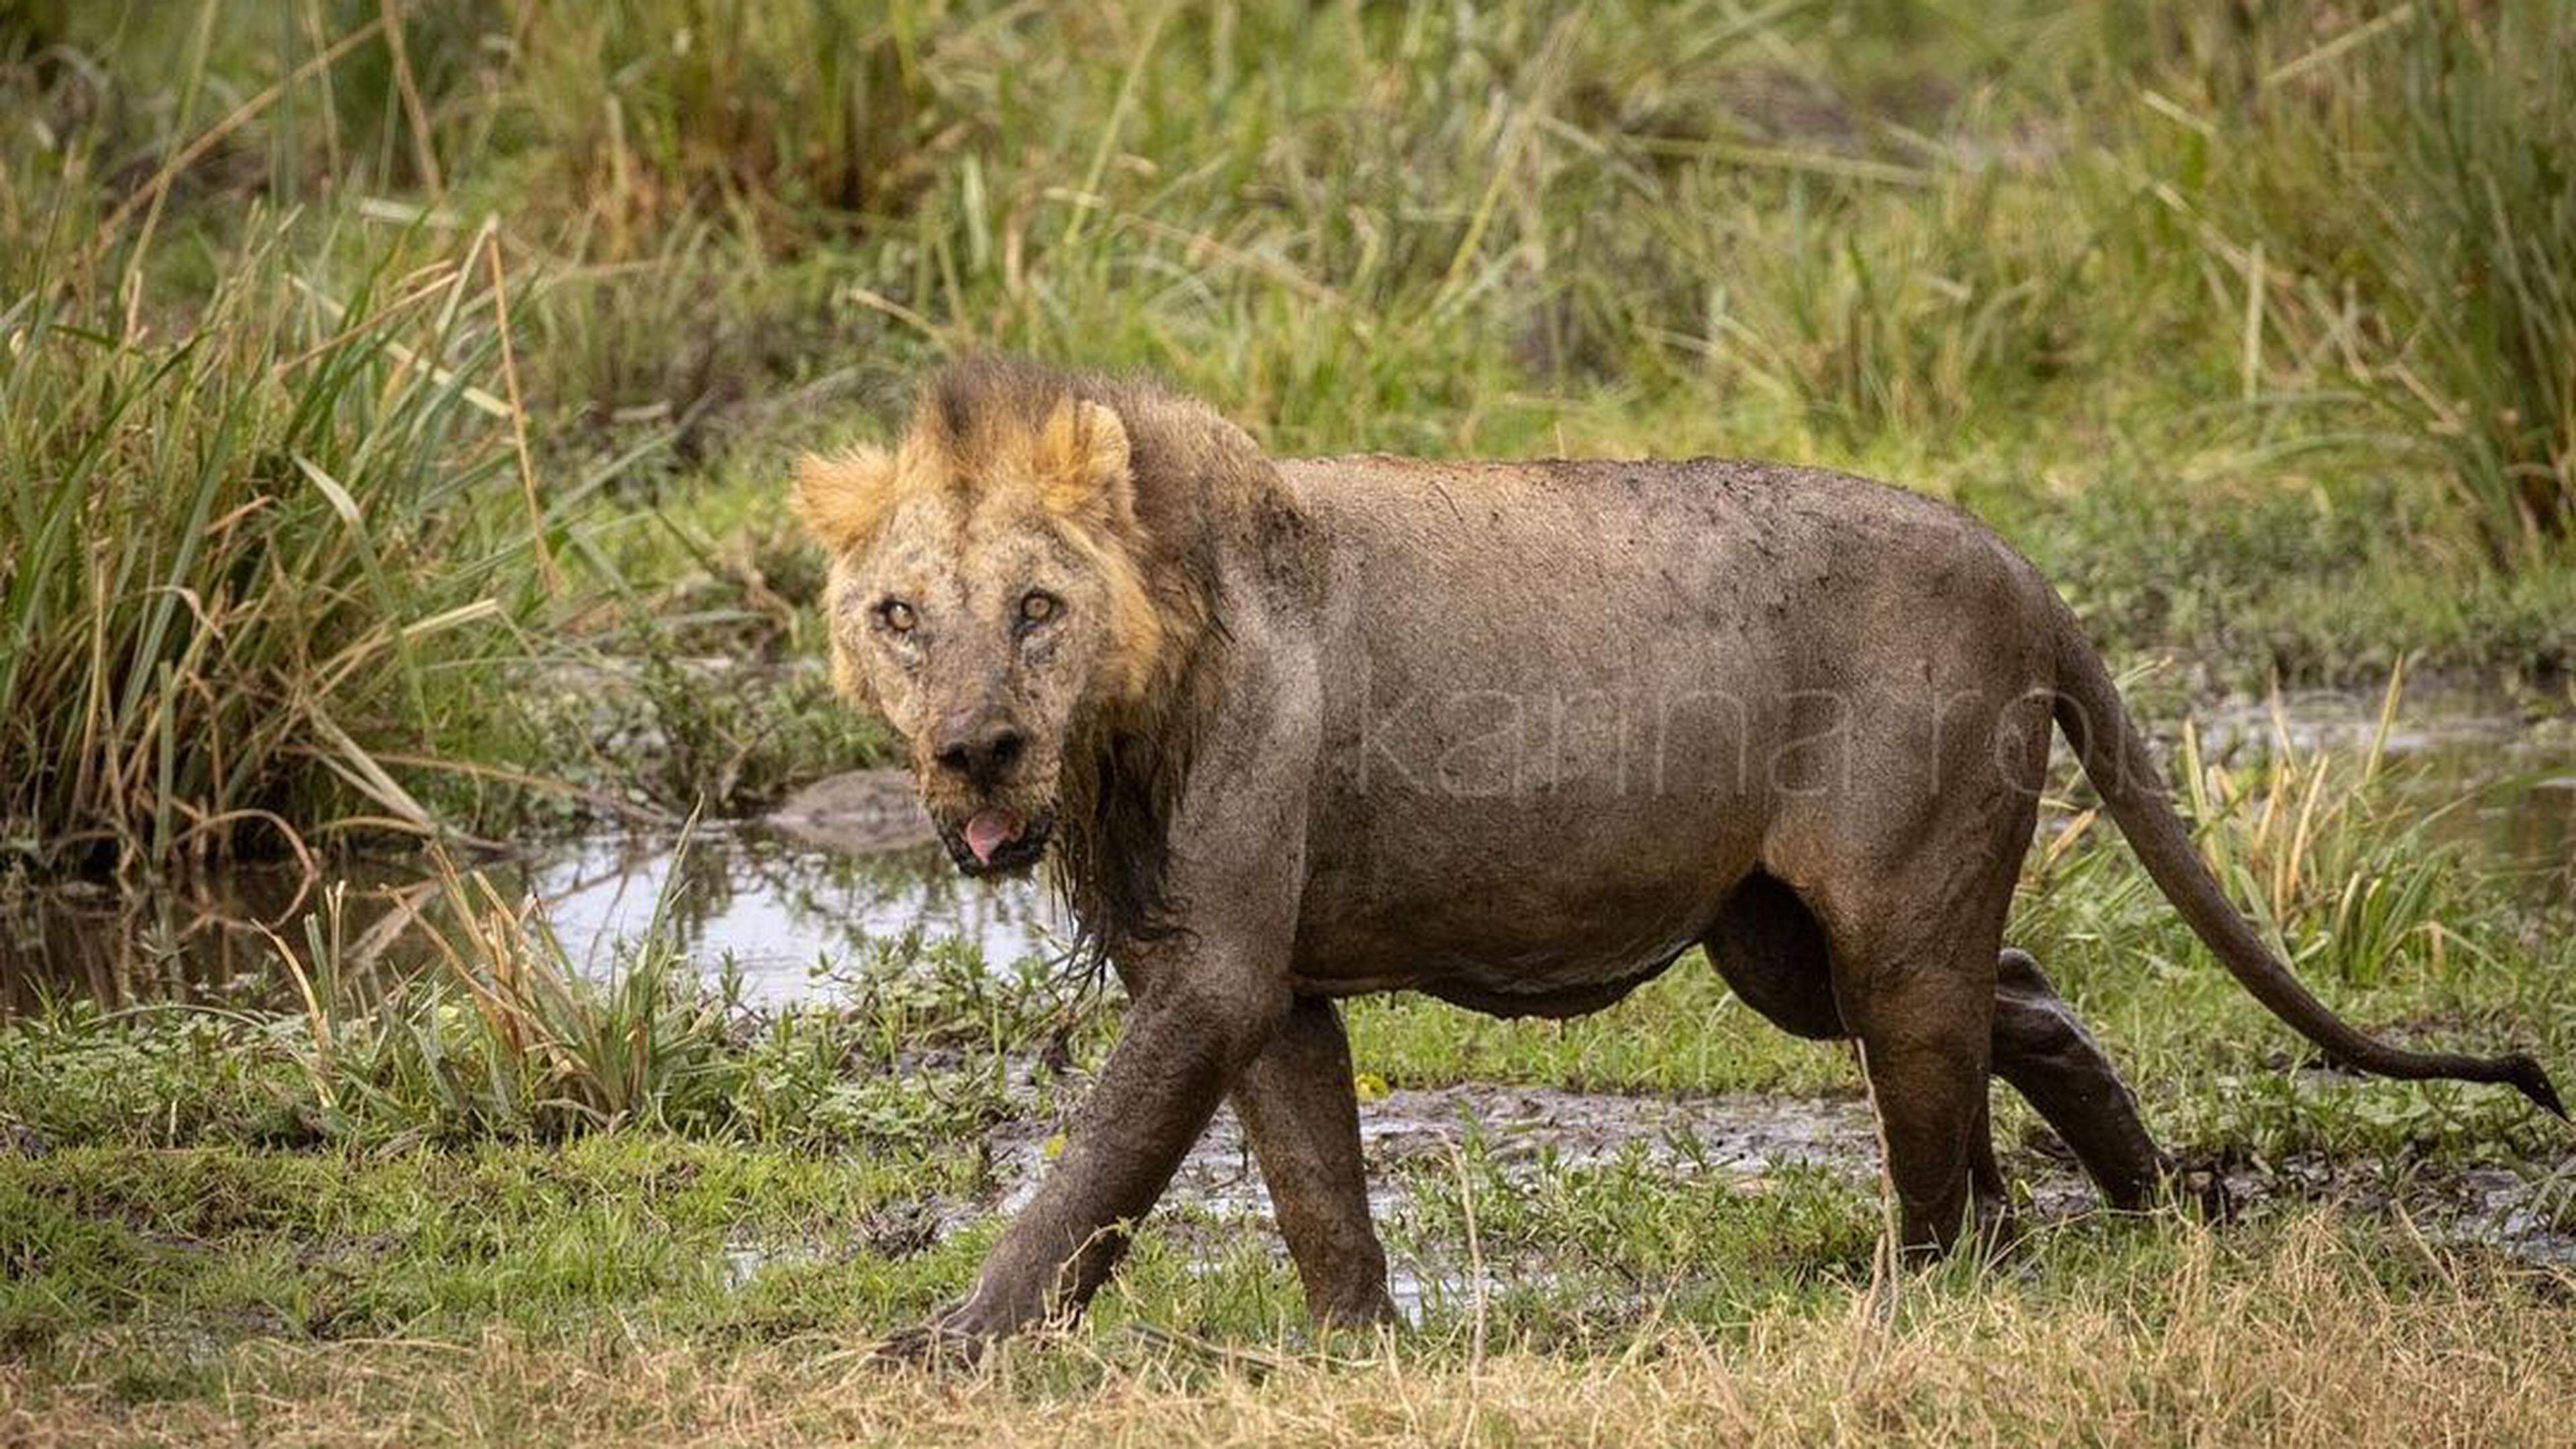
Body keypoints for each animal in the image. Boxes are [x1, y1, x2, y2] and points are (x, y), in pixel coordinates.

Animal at [793, 356, 2565, 1350]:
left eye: (1036, 606)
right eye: (902, 616)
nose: (973, 749)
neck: (1118, 717)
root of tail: (2016, 559)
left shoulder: (1214, 974)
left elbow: (1092, 1174)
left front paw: (948, 1347)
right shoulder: (1263, 978)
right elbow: (1313, 1177)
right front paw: (1357, 1347)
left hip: (1887, 913)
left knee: (1940, 1130)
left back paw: (1918, 1293)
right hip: (1775, 941)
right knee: (2029, 995)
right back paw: (2153, 1214)